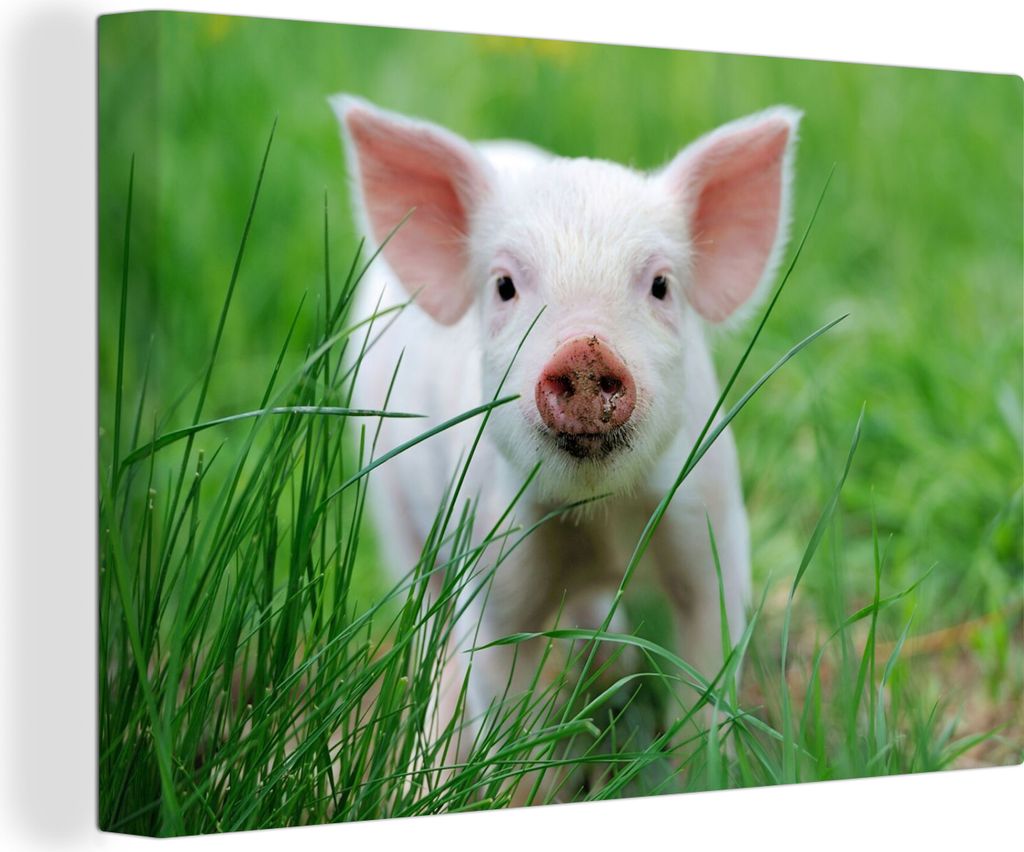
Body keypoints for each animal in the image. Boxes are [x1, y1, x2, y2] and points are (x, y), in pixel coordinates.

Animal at [331, 94, 801, 789]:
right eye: (504, 286)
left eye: (661, 285)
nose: (584, 350)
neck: (595, 513)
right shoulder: (491, 554)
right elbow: (501, 692)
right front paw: (520, 790)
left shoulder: (712, 527)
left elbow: (705, 674)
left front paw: (700, 775)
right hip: (393, 510)